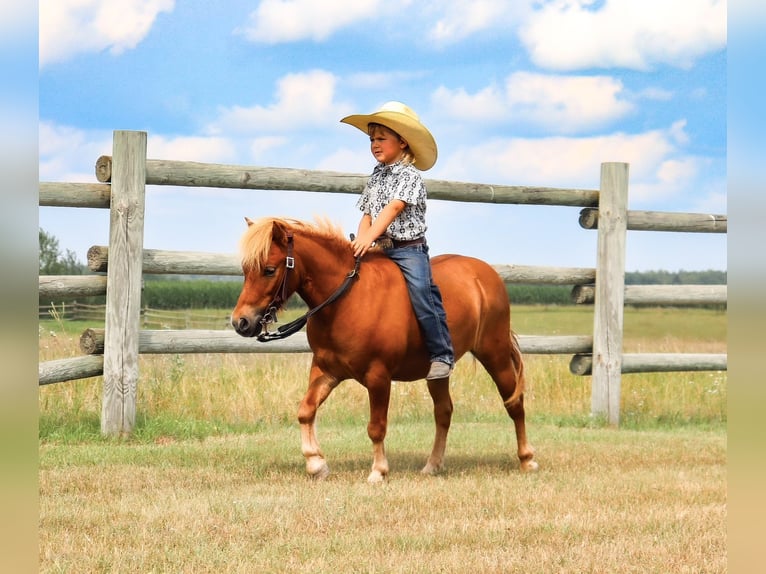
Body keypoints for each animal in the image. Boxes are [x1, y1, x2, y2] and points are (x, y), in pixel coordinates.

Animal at [231, 218, 536, 484]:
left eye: (269, 269)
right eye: (246, 270)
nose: (241, 322)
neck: (346, 299)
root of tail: (486, 273)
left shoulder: (378, 377)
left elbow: (376, 427)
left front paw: (378, 471)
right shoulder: (326, 370)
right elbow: (305, 411)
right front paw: (316, 465)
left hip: (494, 353)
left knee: (514, 403)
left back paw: (527, 459)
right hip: (438, 372)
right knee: (444, 412)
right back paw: (433, 465)